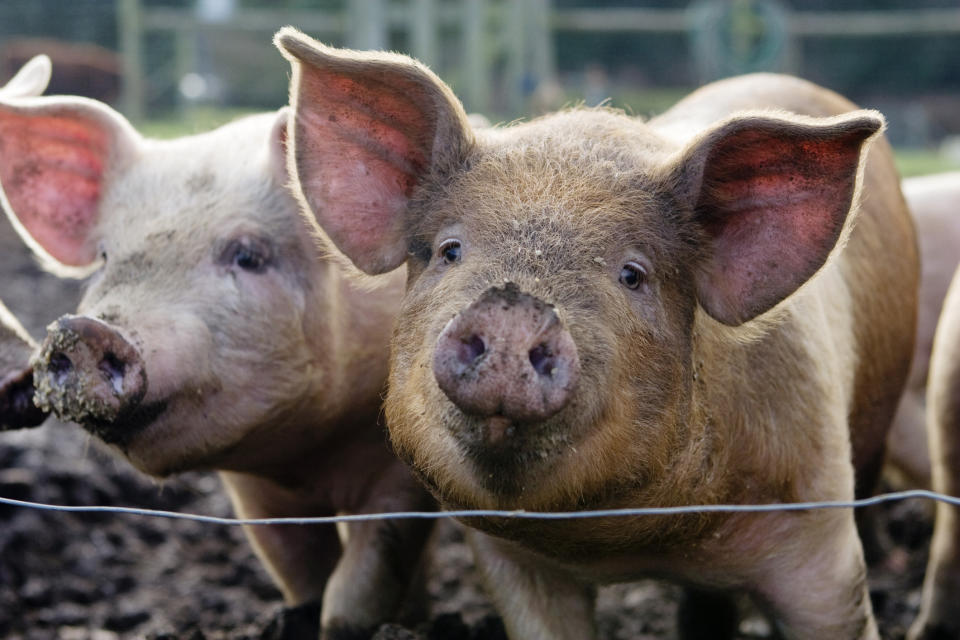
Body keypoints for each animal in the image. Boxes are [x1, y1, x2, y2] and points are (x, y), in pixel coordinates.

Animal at [0, 89, 432, 636]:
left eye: (248, 255)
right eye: (103, 258)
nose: (83, 332)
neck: (309, 454)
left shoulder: (399, 469)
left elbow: (366, 576)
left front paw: (353, 624)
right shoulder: (255, 495)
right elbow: (298, 569)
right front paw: (295, 618)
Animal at [276, 31, 916, 640]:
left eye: (632, 274)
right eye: (448, 251)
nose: (512, 305)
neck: (632, 543)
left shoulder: (819, 525)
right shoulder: (510, 559)